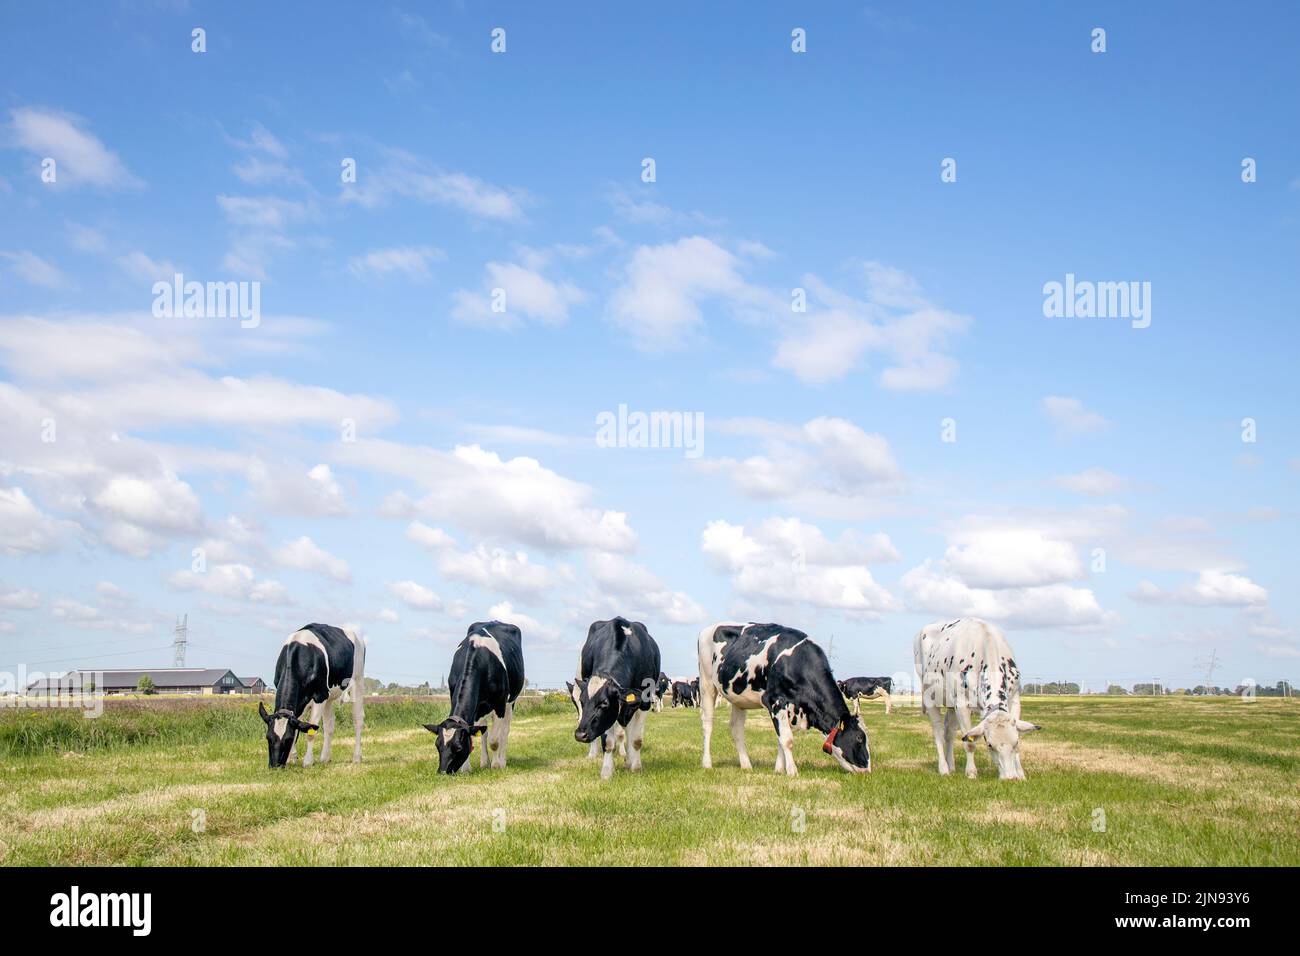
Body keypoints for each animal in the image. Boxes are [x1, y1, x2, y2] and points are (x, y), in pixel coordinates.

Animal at [260, 624, 366, 775]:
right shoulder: (301, 703)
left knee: (358, 720)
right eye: (268, 738)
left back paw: (356, 757)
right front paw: (292, 758)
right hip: (329, 696)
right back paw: (325, 758)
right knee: (329, 724)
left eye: (287, 739)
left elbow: (311, 732)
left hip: (357, 682)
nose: (275, 766)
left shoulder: (319, 696)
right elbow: (299, 727)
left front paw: (307, 762)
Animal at [426, 624, 527, 775]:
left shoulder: (500, 704)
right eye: (437, 745)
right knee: (484, 732)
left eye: (458, 748)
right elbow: (475, 733)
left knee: (504, 731)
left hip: (510, 703)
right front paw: (466, 768)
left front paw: (496, 765)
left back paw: (502, 761)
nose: (442, 772)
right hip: (481, 709)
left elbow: (494, 740)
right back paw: (484, 762)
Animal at [574, 616, 665, 780]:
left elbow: (636, 739)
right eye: (582, 702)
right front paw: (607, 772)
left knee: (630, 732)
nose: (580, 735)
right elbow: (608, 742)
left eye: (604, 703)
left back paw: (630, 760)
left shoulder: (644, 703)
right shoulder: (610, 715)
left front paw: (636, 767)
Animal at [696, 621, 868, 780]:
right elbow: (787, 739)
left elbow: (781, 738)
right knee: (707, 725)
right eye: (859, 738)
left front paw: (779, 769)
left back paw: (746, 765)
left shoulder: (791, 709)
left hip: (739, 698)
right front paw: (792, 771)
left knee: (736, 729)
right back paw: (707, 763)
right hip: (706, 684)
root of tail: (707, 629)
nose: (867, 770)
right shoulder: (775, 701)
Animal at [915, 616, 1045, 780]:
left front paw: (1020, 774)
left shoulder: (1015, 698)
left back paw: (951, 766)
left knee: (949, 732)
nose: (1009, 778)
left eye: (1015, 743)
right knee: (938, 732)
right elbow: (969, 742)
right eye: (989, 744)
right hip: (930, 697)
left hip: (951, 704)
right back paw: (944, 768)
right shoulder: (962, 703)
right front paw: (971, 772)